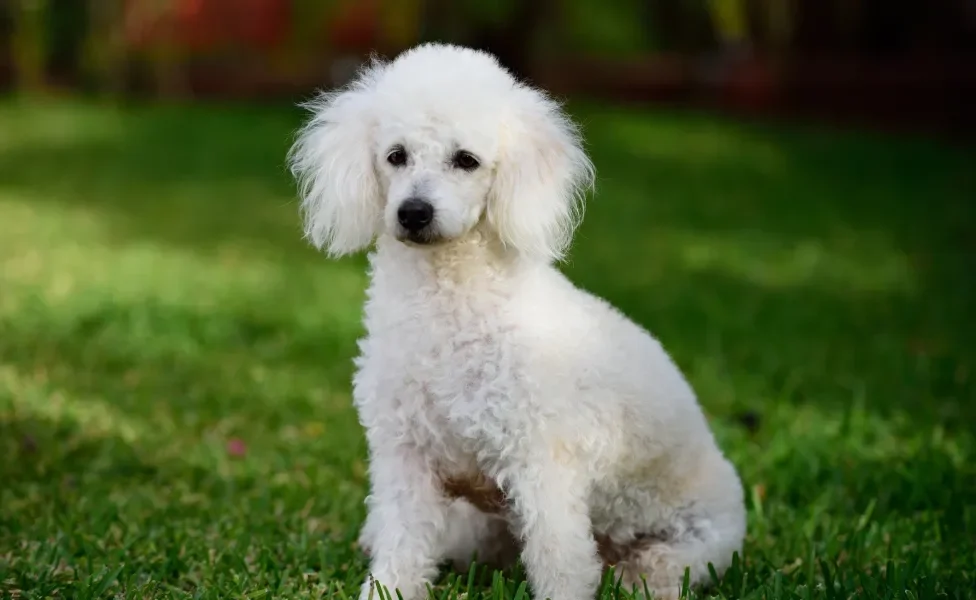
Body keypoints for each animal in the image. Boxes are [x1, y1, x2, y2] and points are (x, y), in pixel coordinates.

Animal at [286, 43, 744, 600]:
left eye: (466, 160)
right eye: (395, 155)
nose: (414, 212)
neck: (448, 307)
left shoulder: (542, 464)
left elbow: (559, 560)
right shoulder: (406, 457)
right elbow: (401, 544)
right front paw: (386, 588)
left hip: (692, 545)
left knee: (656, 569)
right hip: (477, 526)